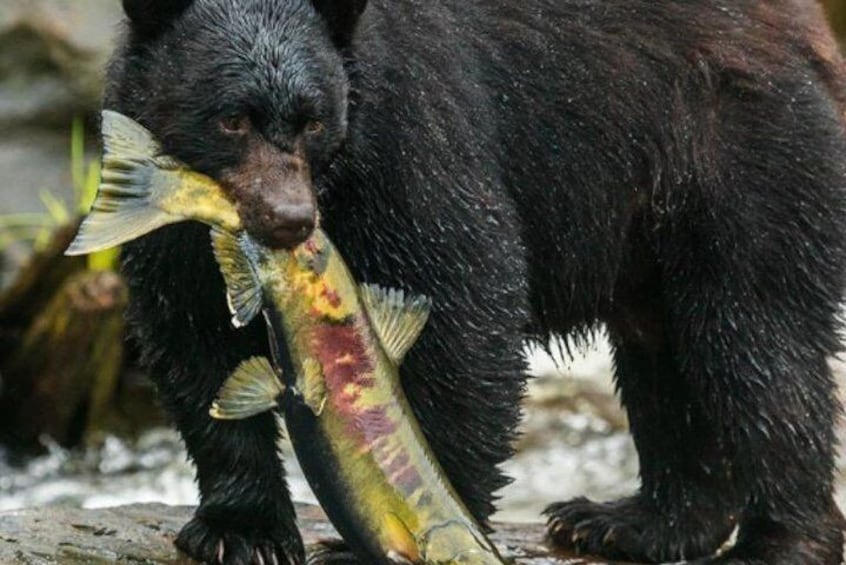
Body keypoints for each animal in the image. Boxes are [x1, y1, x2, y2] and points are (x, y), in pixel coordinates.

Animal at [106, 0, 846, 560]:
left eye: (312, 118)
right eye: (232, 117)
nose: (289, 220)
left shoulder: (409, 132)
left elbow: (465, 304)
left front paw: (423, 511)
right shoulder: (166, 207)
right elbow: (192, 332)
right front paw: (242, 531)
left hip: (736, 155)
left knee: (757, 348)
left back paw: (775, 541)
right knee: (662, 356)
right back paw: (631, 522)